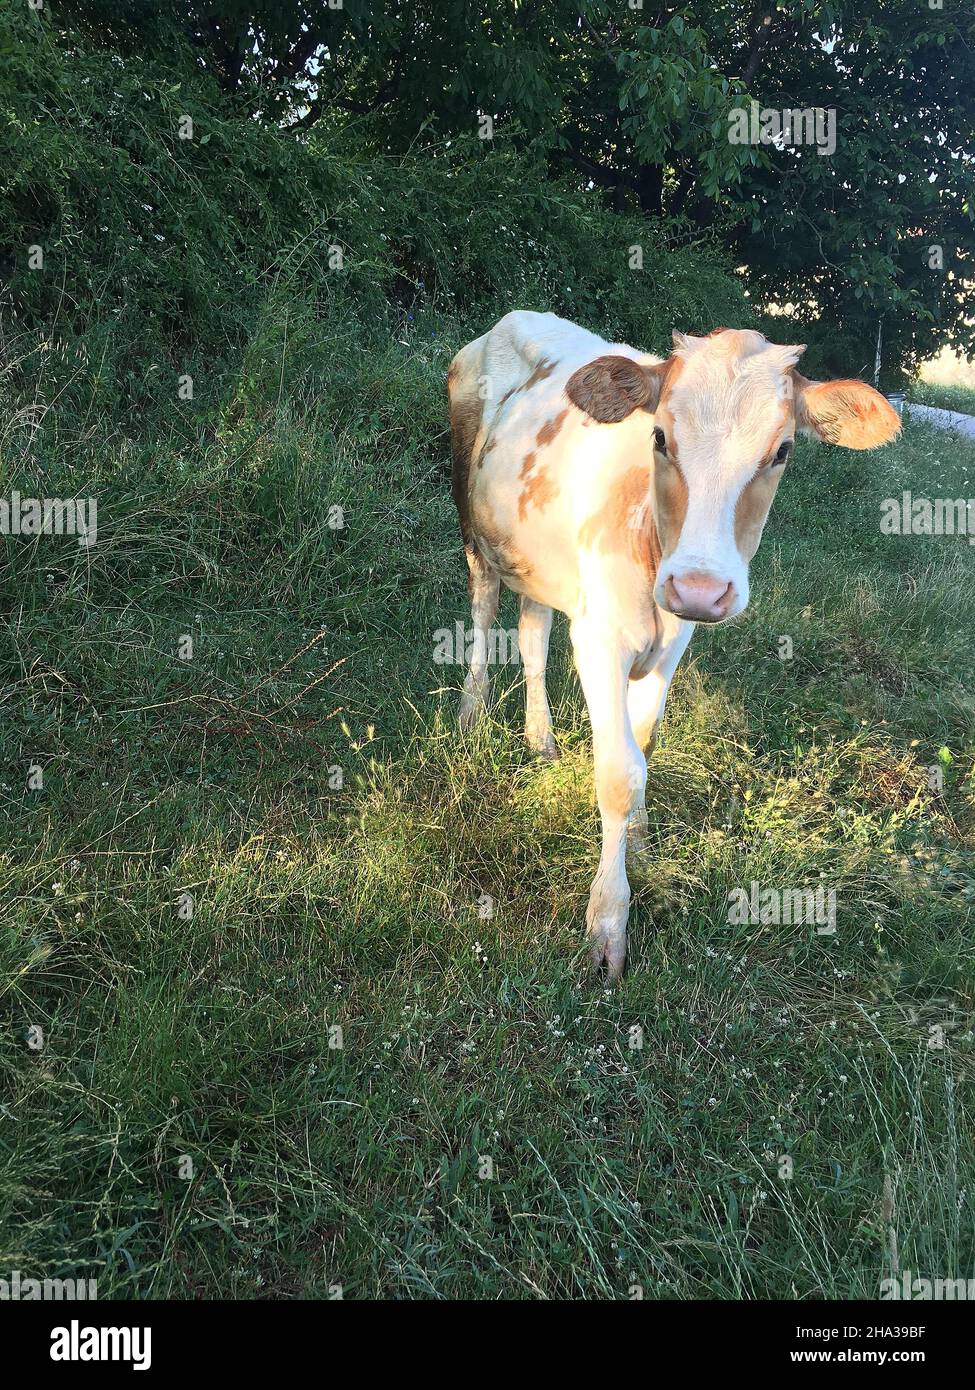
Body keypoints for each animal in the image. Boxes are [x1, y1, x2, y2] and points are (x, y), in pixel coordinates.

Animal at [448, 311, 900, 979]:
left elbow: (643, 747)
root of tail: (516, 317)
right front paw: (608, 922)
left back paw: (541, 740)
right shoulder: (600, 640)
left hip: (539, 563)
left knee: (532, 635)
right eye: (659, 437)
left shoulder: (673, 641)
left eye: (783, 450)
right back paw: (471, 713)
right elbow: (618, 772)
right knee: (482, 613)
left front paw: (636, 848)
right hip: (473, 522)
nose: (699, 588)